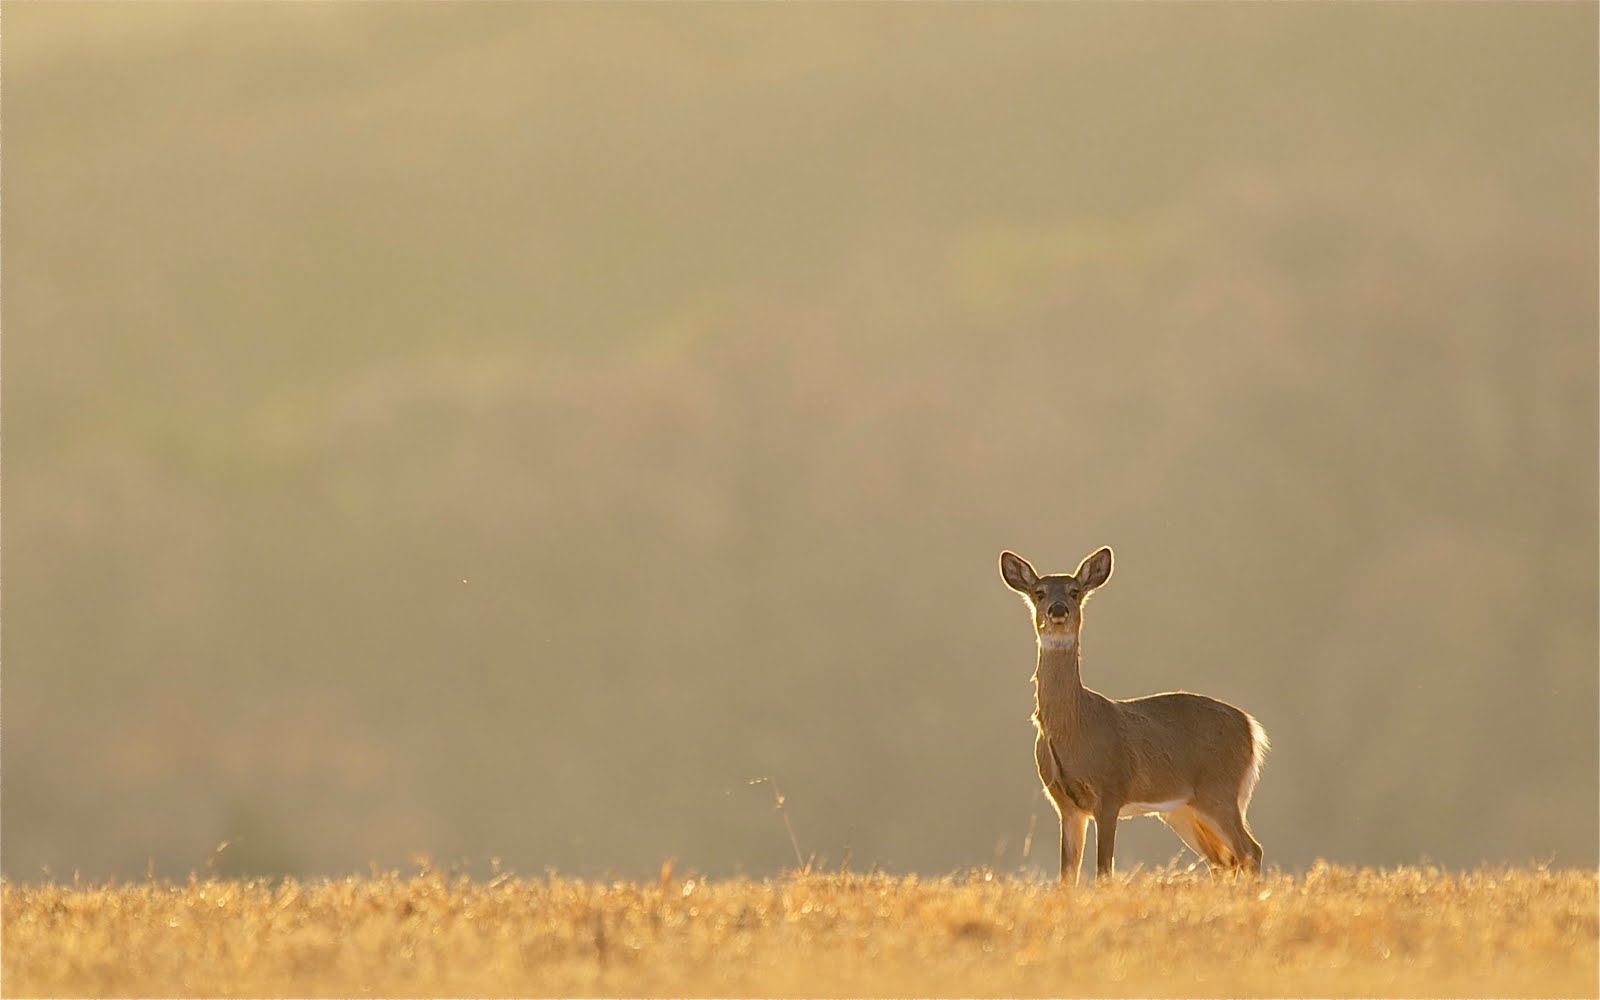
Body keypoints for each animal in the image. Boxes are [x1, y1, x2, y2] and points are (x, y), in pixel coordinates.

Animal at [999, 547, 1267, 885]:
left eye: (1075, 591)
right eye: (1039, 592)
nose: (1058, 610)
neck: (1077, 726)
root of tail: (1251, 727)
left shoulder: (1110, 790)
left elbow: (1104, 870)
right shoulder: (1066, 804)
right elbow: (1067, 876)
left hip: (1219, 790)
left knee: (1250, 851)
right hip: (1182, 809)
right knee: (1224, 860)